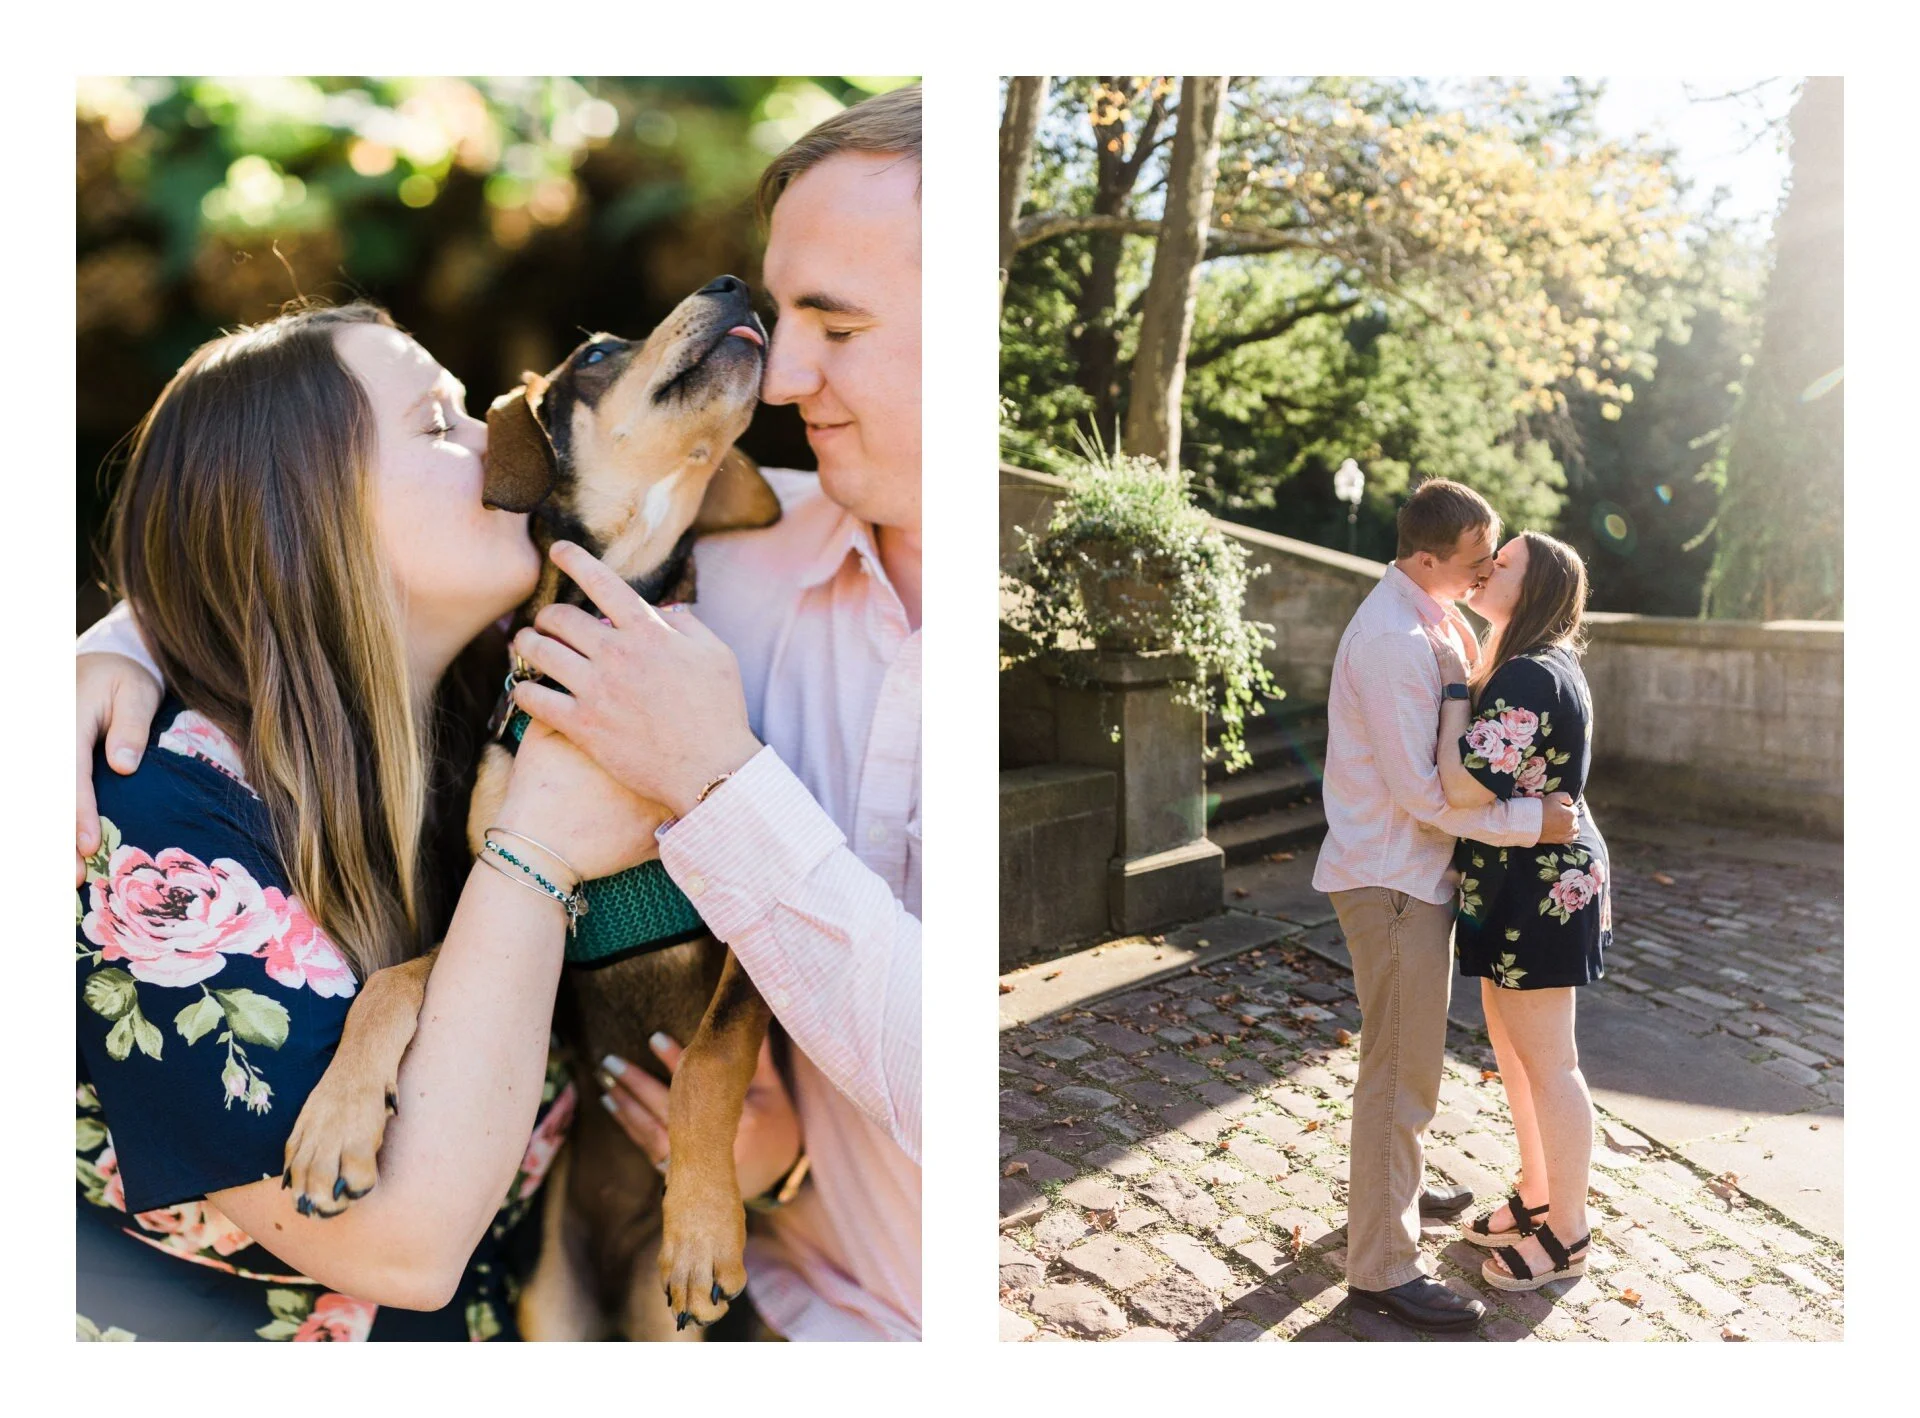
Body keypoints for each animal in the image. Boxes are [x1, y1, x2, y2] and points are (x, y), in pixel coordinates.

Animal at [276, 274, 779, 1343]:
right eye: (593, 356)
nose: (734, 283)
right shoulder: (516, 931)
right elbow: (398, 979)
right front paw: (337, 1121)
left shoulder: (754, 933)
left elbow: (709, 1062)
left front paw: (701, 1232)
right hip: (553, 1303)